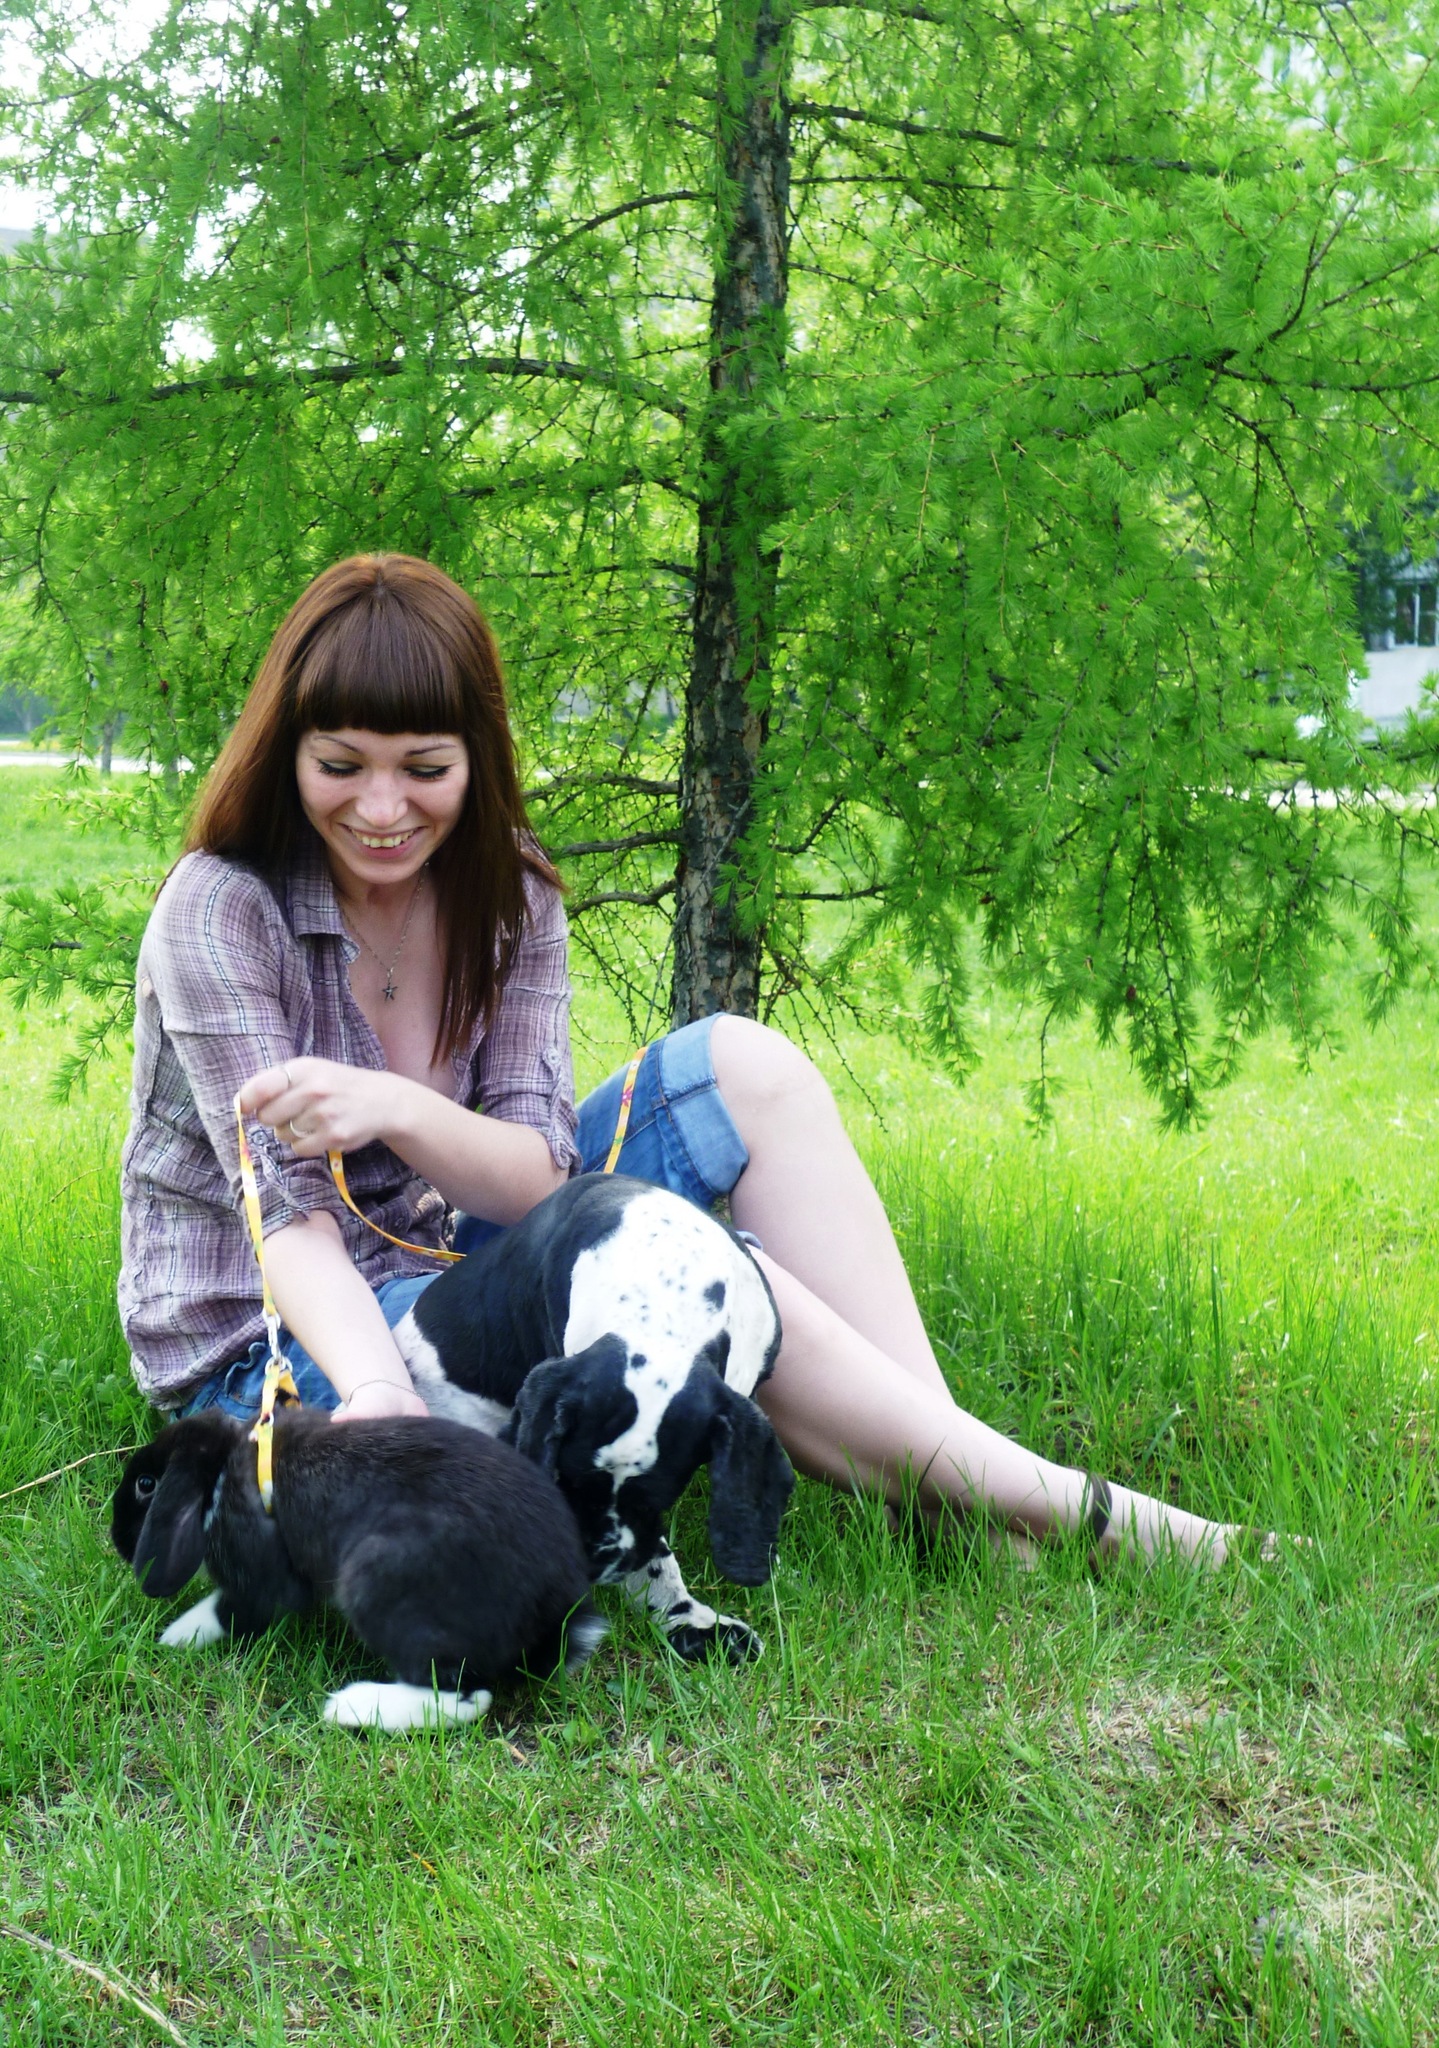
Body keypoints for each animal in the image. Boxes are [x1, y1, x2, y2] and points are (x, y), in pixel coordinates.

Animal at [111, 1406, 606, 1730]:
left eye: (145, 1484)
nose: (117, 1540)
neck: (221, 1470)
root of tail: (555, 1621)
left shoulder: (259, 1577)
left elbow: (232, 1609)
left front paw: (177, 1635)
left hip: (376, 1582)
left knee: (466, 1694)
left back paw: (352, 1708)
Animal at [392, 1172, 795, 1661]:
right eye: (568, 1481)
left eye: (654, 1499)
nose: (593, 1565)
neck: (666, 1294)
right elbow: (657, 1556)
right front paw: (683, 1616)